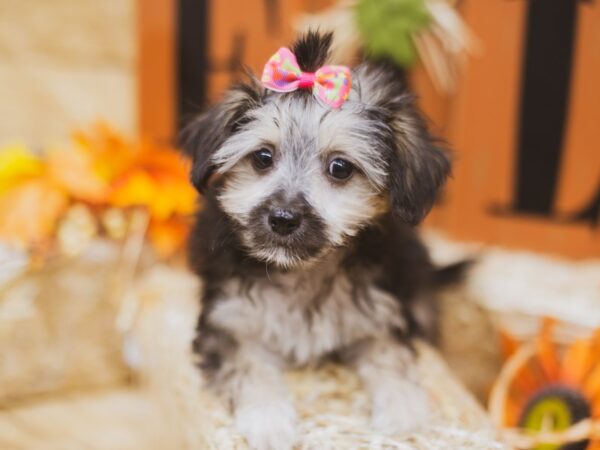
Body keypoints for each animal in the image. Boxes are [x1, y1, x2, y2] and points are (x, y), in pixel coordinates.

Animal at [185, 32, 452, 450]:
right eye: (262, 158)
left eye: (340, 168)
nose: (282, 219)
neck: (303, 272)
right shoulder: (229, 321)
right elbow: (249, 367)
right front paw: (268, 420)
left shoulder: (380, 315)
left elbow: (391, 355)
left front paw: (403, 409)